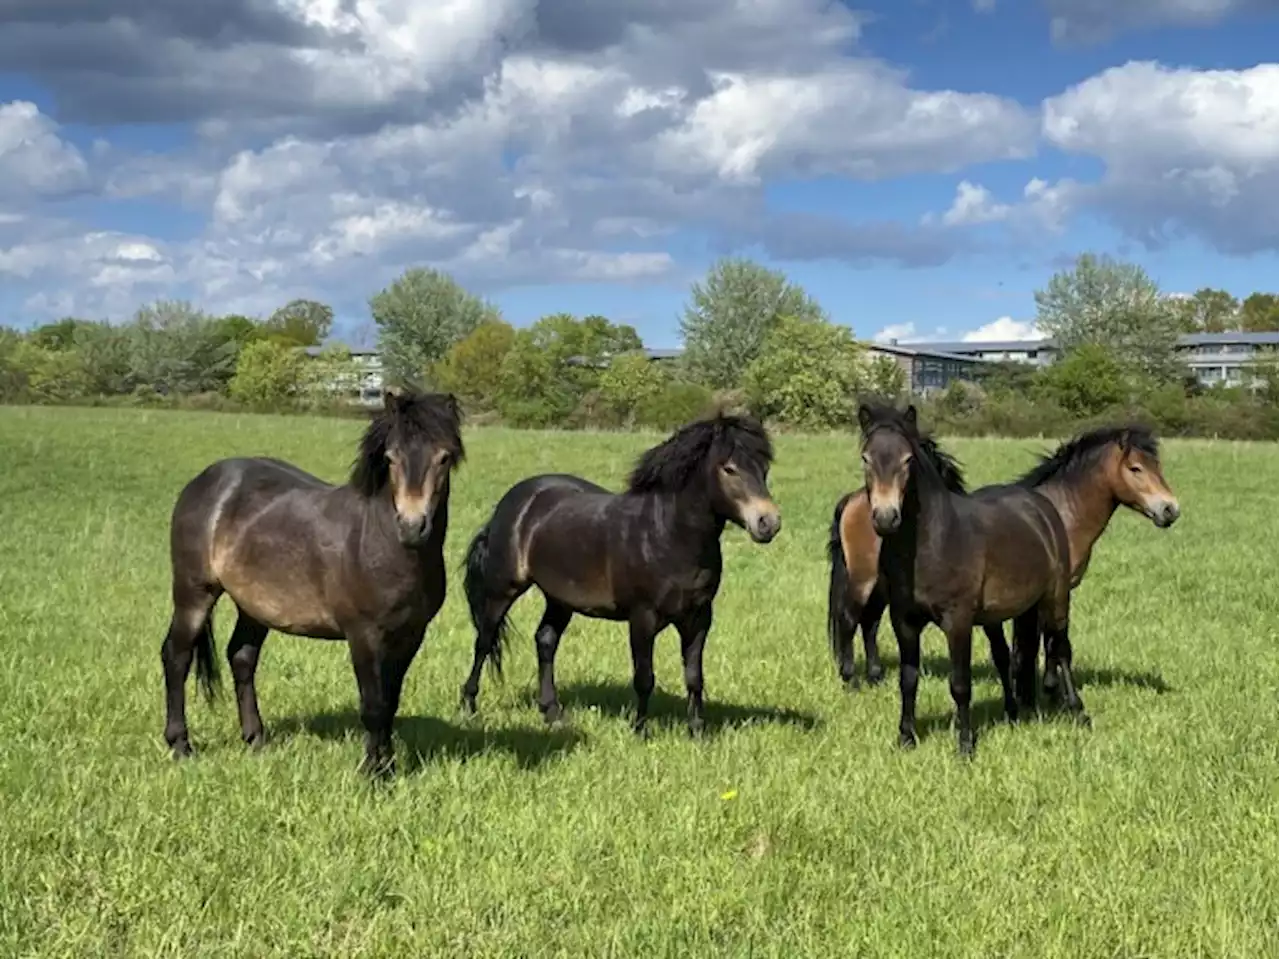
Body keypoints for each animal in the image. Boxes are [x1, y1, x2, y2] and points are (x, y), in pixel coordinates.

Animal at [157, 384, 463, 773]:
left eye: (444, 458)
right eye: (391, 458)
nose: (411, 527)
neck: (382, 544)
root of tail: (206, 480)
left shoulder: (410, 635)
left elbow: (390, 704)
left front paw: (388, 767)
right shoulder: (363, 636)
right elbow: (373, 706)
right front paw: (372, 772)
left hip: (255, 606)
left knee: (241, 657)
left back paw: (256, 740)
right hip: (194, 593)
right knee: (177, 655)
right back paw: (181, 745)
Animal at [460, 409, 778, 732]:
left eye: (764, 468)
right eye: (729, 469)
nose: (768, 523)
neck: (667, 536)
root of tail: (515, 501)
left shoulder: (699, 618)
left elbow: (694, 678)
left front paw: (698, 731)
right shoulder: (642, 618)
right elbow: (644, 678)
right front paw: (640, 730)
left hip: (560, 599)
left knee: (545, 640)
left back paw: (552, 713)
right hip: (502, 590)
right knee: (484, 641)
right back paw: (469, 706)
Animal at [829, 419, 1177, 701]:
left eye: (1157, 466)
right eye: (1136, 468)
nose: (1170, 509)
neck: (1058, 512)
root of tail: (855, 499)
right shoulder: (1050, 594)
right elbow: (1047, 643)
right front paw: (1046, 692)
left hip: (882, 587)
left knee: (869, 622)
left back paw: (874, 676)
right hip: (864, 580)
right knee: (849, 619)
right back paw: (850, 681)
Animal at [855, 402, 1075, 757]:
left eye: (908, 459)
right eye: (866, 458)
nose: (886, 518)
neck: (931, 543)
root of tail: (1041, 506)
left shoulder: (957, 622)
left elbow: (960, 684)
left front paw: (965, 746)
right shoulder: (904, 621)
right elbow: (908, 679)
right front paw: (906, 737)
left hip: (1056, 599)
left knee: (1062, 647)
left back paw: (1079, 712)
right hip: (1002, 614)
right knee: (1007, 656)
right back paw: (1013, 713)